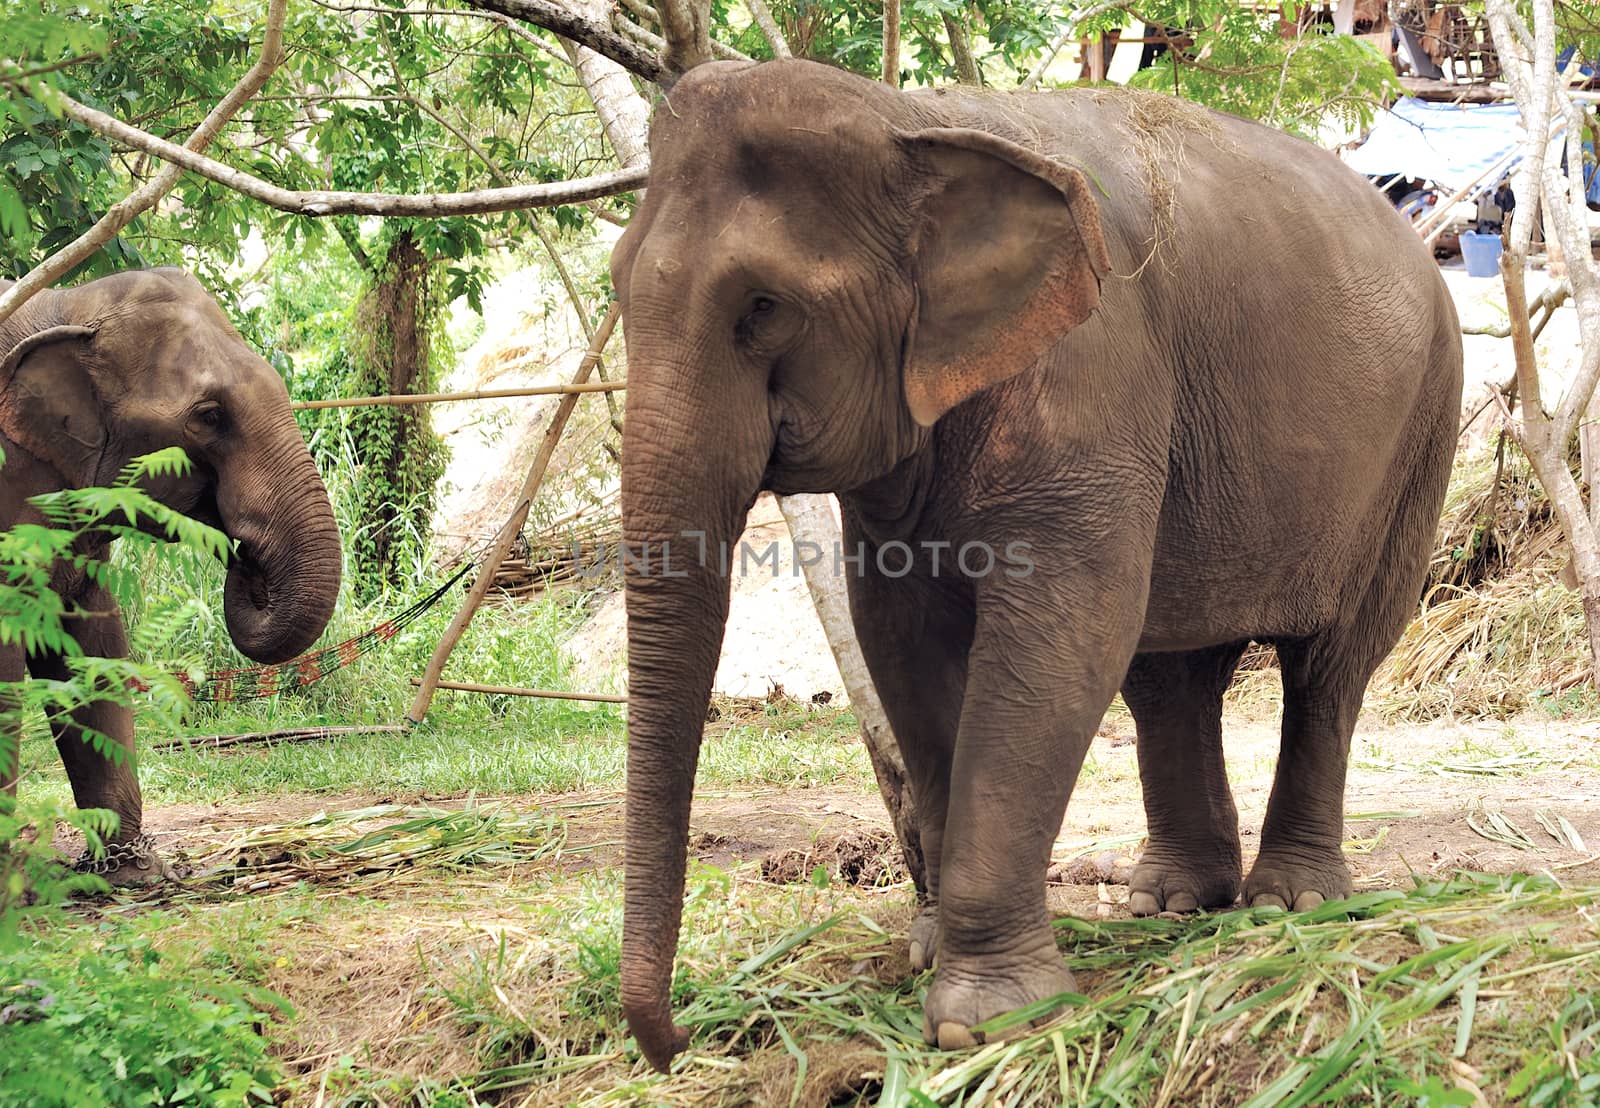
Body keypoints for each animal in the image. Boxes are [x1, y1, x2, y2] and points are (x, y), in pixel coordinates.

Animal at [611, 58, 1465, 1063]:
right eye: (616, 289)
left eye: (764, 308)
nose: (676, 1042)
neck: (915, 119)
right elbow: (903, 647)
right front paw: (925, 954)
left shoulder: (1090, 385)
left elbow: (1058, 642)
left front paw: (987, 1021)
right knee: (1170, 676)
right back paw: (1172, 901)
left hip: (1421, 435)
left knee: (1331, 665)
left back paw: (1288, 903)